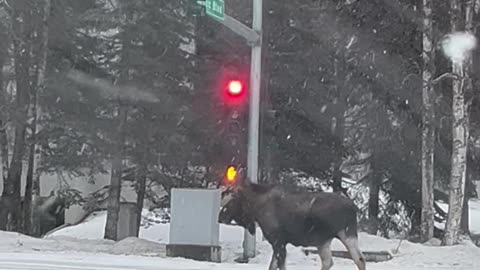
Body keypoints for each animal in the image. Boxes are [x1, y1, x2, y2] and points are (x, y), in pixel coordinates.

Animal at [219, 179, 366, 270]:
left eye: (230, 202)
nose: (220, 217)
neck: (256, 208)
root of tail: (354, 208)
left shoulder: (278, 242)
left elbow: (278, 266)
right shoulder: (280, 243)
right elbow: (274, 266)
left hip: (344, 233)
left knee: (357, 258)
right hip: (326, 241)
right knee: (331, 261)